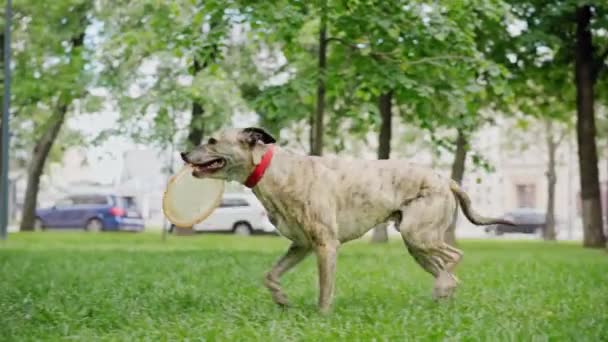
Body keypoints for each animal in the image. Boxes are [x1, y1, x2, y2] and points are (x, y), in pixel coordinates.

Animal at [180, 127, 512, 312]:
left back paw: (442, 289)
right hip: (418, 246)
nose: (183, 154)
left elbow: (324, 290)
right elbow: (270, 276)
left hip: (419, 234)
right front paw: (282, 300)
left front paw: (322, 317)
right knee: (450, 273)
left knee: (455, 256)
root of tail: (446, 179)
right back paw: (443, 298)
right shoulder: (301, 246)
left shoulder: (326, 245)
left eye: (212, 140)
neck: (272, 169)